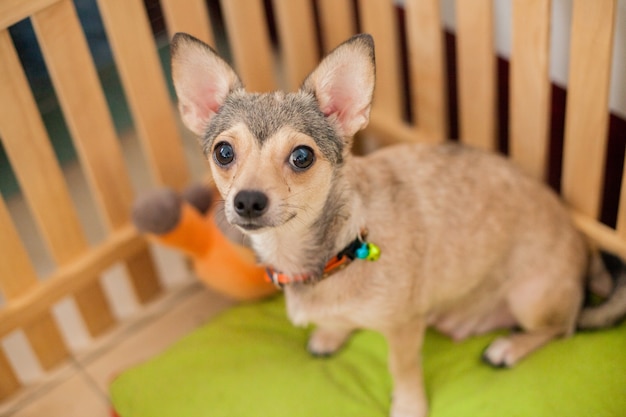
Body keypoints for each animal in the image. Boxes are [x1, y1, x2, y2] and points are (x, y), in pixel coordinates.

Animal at [171, 32, 624, 416]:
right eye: (224, 152)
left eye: (302, 156)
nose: (247, 200)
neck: (335, 251)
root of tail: (583, 246)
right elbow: (338, 320)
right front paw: (331, 333)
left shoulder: (404, 330)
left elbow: (402, 370)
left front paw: (408, 406)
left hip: (532, 299)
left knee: (563, 328)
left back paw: (509, 348)